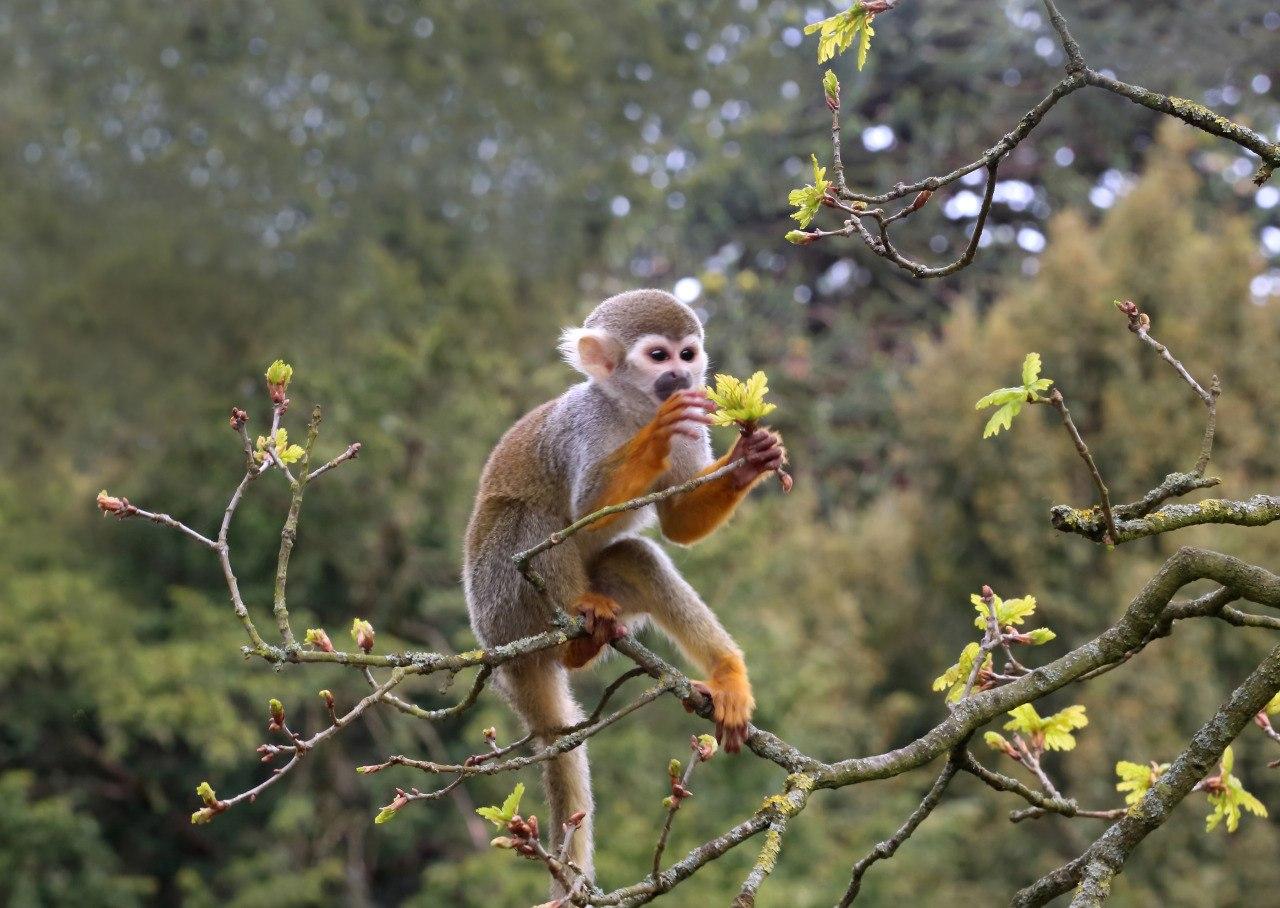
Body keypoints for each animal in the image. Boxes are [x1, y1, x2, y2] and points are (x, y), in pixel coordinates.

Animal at [460, 288, 778, 886]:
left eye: (687, 353)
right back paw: (578, 624)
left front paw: (751, 459)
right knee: (536, 521)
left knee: (636, 557)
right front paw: (656, 438)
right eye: (658, 356)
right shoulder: (582, 426)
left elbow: (677, 524)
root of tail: (499, 650)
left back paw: (720, 673)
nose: (681, 376)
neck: (631, 410)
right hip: (501, 601)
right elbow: (585, 508)